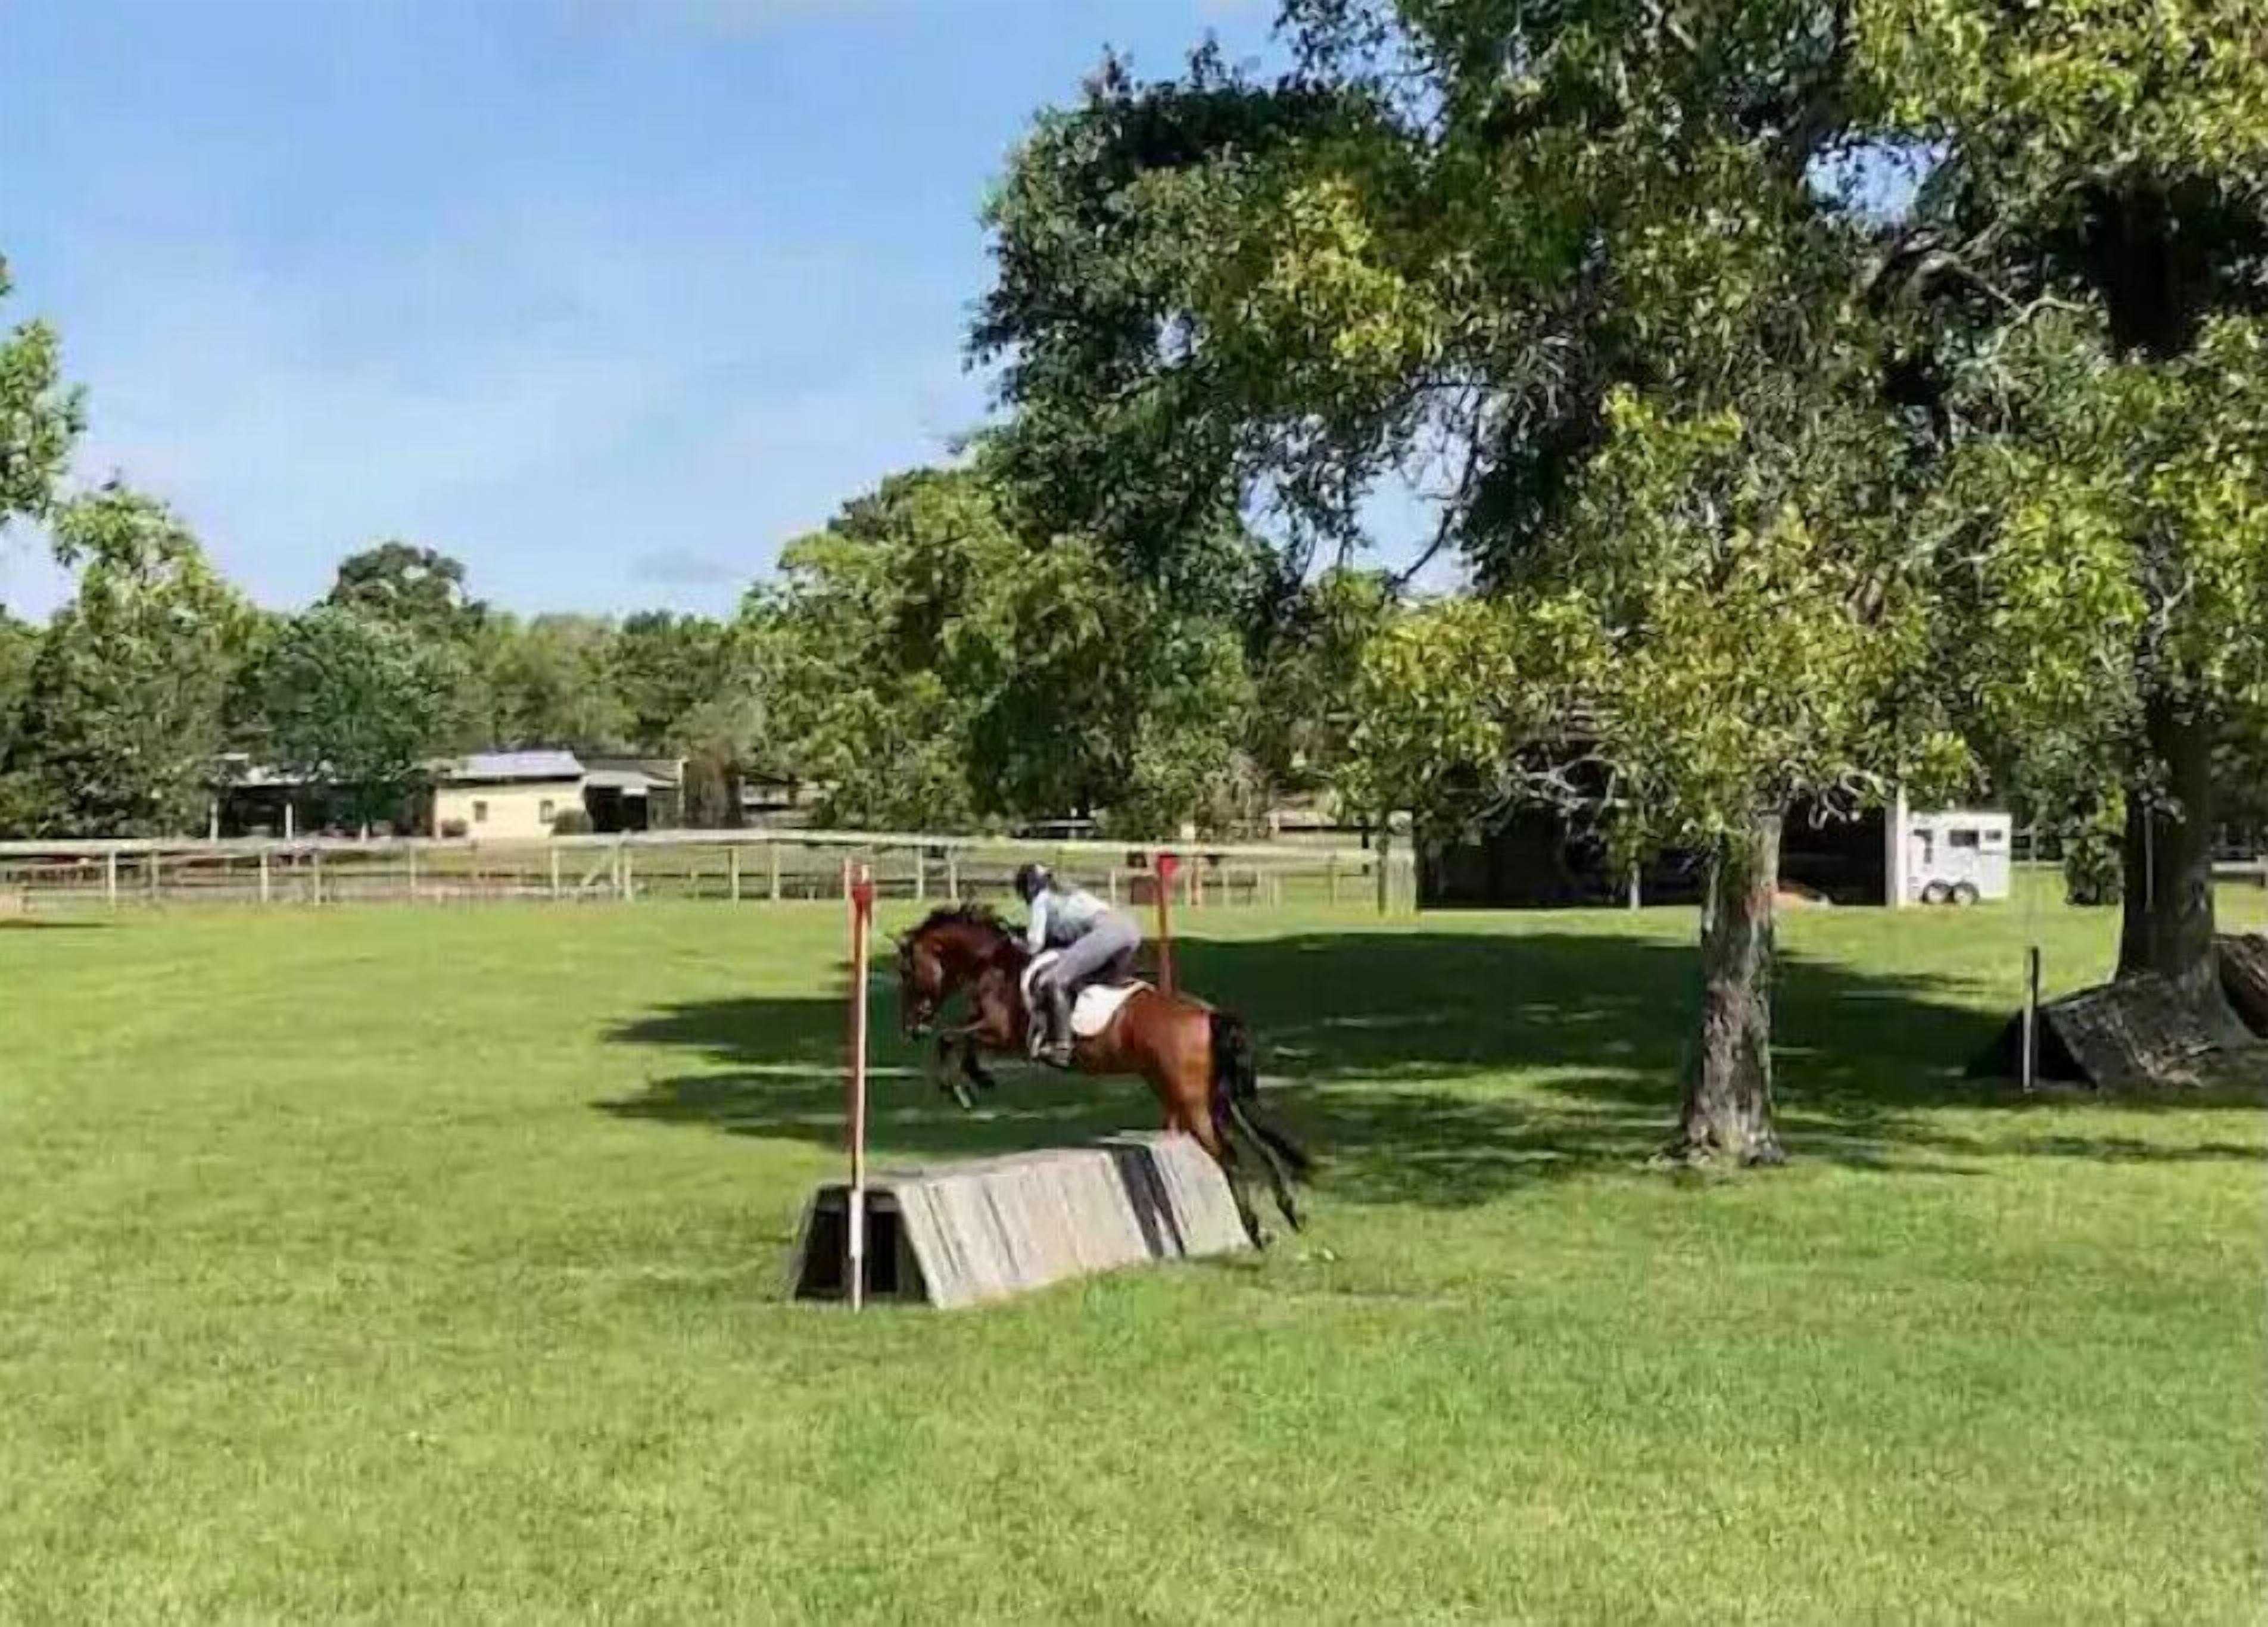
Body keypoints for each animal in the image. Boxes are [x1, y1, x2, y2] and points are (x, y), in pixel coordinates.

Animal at [891, 902, 1310, 1246]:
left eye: (907, 971)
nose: (911, 1028)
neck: (996, 965)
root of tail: (1208, 1016)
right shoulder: (995, 1032)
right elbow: (962, 1042)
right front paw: (978, 1077)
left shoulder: (1002, 1032)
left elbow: (951, 1038)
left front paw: (960, 1085)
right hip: (1217, 1097)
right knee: (1261, 1145)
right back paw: (1291, 1212)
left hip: (1190, 1101)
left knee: (1229, 1155)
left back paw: (1257, 1231)